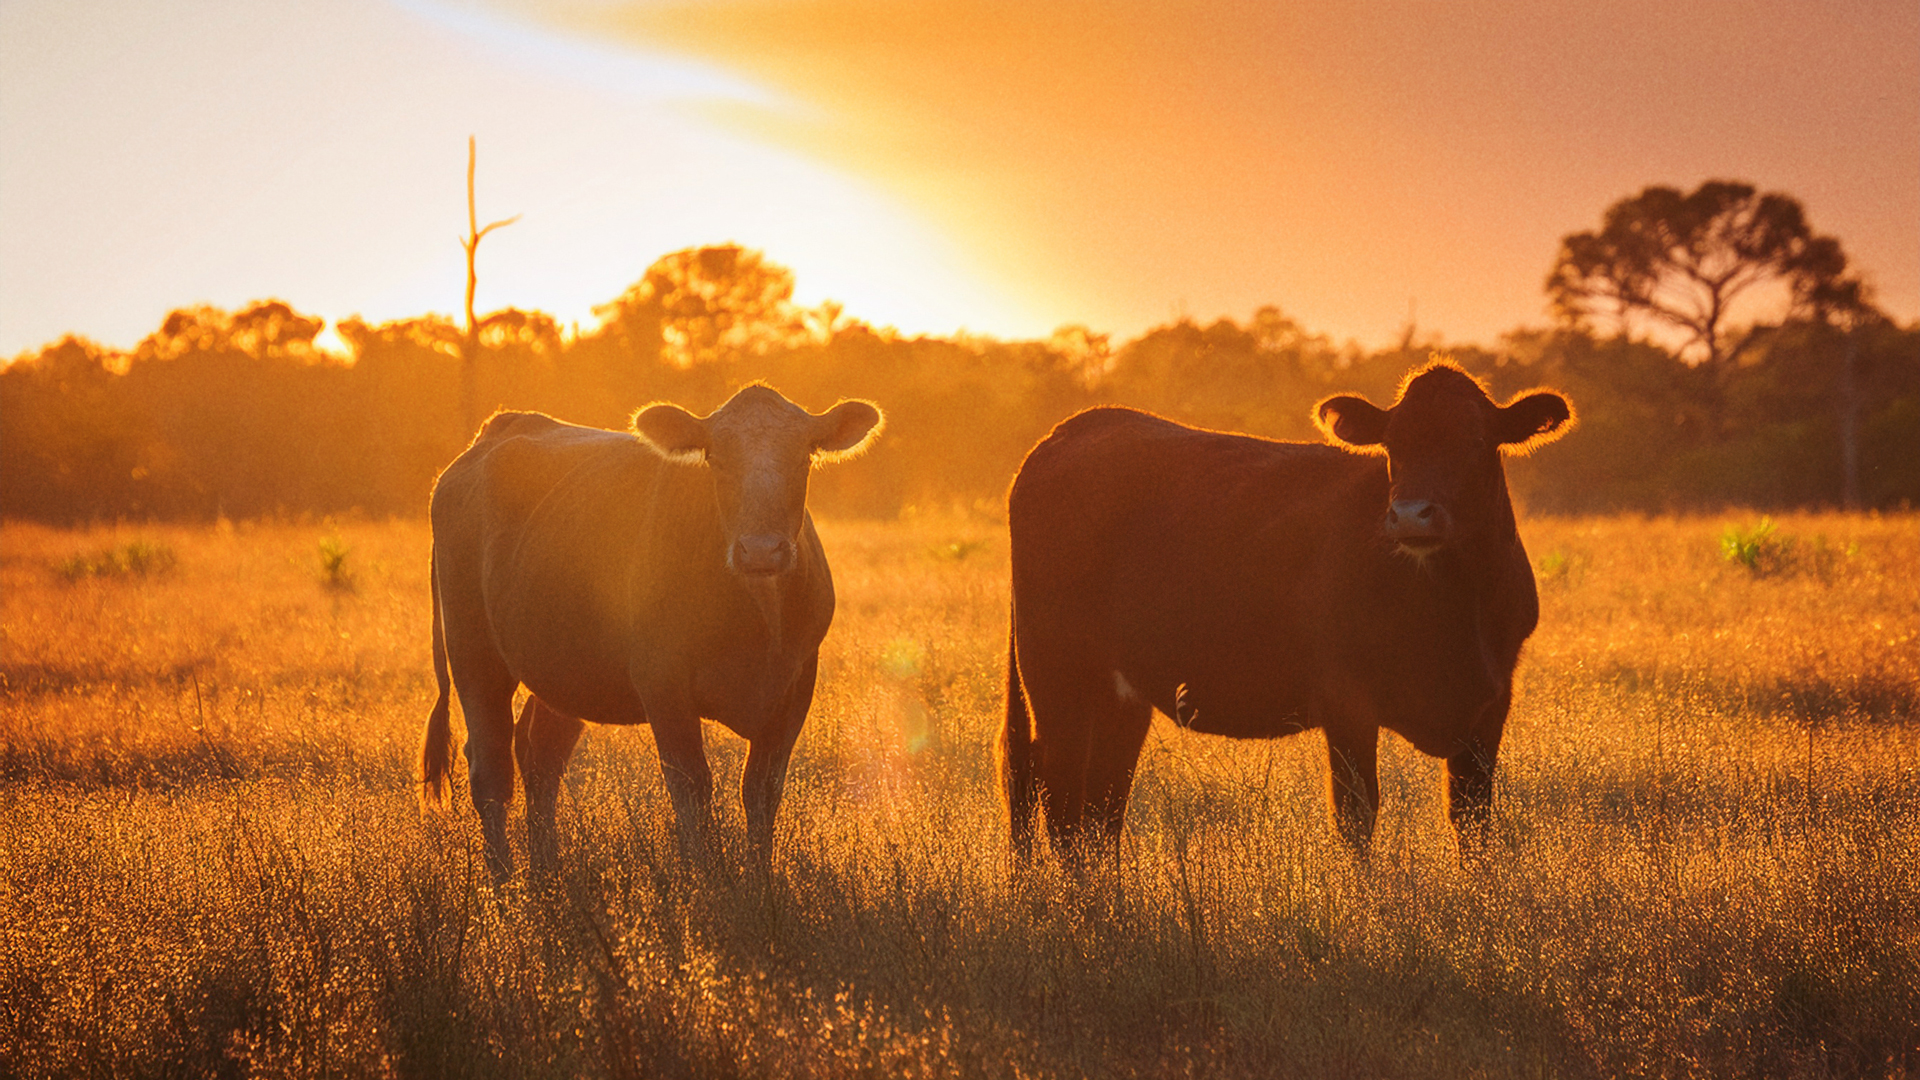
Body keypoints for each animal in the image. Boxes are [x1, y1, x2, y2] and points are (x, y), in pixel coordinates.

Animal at [421, 384, 883, 880]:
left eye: (803, 457)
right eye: (716, 459)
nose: (761, 550)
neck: (758, 619)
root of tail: (500, 429)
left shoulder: (795, 687)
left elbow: (761, 790)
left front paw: (760, 882)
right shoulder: (663, 684)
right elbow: (693, 787)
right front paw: (706, 877)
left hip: (565, 666)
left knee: (540, 755)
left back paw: (547, 870)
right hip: (474, 653)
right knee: (490, 766)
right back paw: (503, 881)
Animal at [1001, 361, 1571, 863]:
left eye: (1476, 441)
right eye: (1394, 446)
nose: (1410, 515)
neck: (1452, 605)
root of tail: (1076, 427)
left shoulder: (1490, 703)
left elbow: (1473, 822)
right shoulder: (1346, 700)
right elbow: (1356, 818)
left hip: (1119, 696)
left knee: (1099, 811)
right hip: (1057, 676)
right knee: (1060, 800)